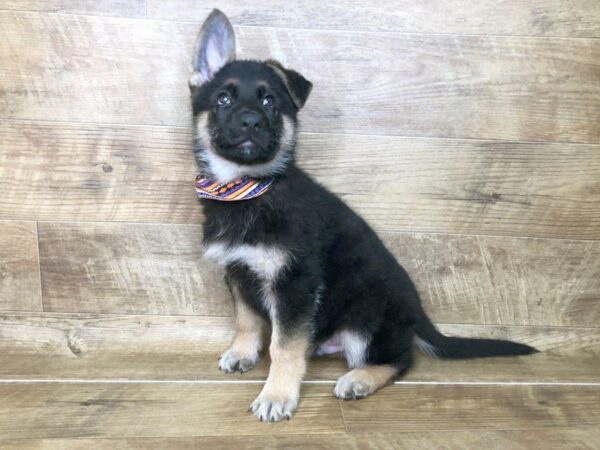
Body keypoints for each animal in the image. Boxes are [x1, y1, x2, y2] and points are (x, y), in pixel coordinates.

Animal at [190, 7, 536, 422]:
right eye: (223, 99)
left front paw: (277, 395)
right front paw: (242, 353)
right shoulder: (239, 274)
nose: (251, 122)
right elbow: (246, 320)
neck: (249, 189)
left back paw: (358, 380)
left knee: (400, 359)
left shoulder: (295, 286)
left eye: (271, 102)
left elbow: (284, 347)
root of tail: (418, 314)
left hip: (367, 319)